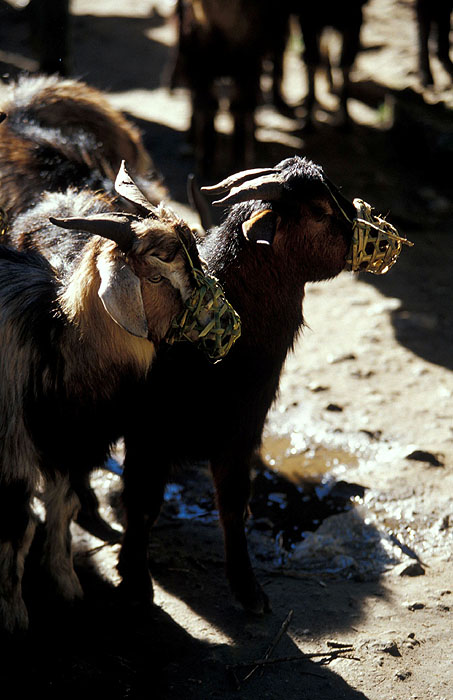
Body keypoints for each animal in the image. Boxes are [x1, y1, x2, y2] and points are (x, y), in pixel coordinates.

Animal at [0, 164, 208, 634]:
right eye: (156, 273)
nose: (214, 312)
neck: (57, 336)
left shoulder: (68, 441)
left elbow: (64, 505)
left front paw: (66, 585)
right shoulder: (15, 448)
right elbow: (18, 525)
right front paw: (14, 613)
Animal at [116, 156, 371, 612]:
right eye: (319, 210)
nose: (359, 224)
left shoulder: (241, 431)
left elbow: (235, 503)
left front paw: (248, 589)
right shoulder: (150, 434)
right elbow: (142, 503)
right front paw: (134, 583)